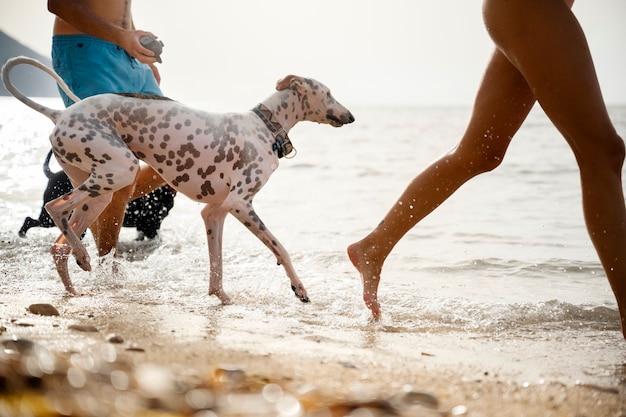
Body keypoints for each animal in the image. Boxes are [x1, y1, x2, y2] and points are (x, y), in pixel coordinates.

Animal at [19, 150, 174, 240]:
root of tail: (52, 175)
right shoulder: (150, 224)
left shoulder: (146, 226)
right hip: (49, 219)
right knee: (29, 220)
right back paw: (22, 234)